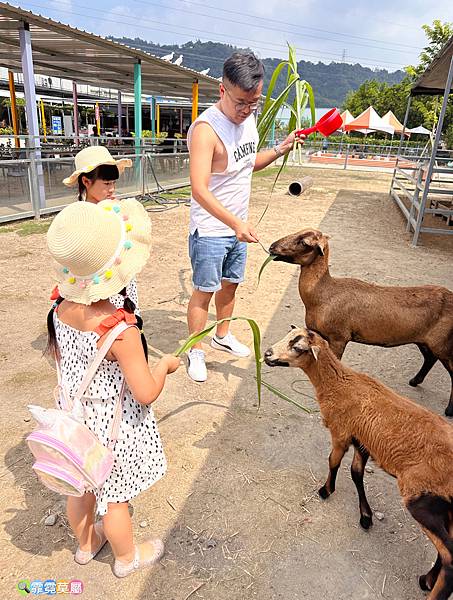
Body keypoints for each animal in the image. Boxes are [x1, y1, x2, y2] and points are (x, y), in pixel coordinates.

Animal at [264, 328, 452, 600]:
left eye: (297, 347)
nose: (267, 354)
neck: (340, 384)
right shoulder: (361, 440)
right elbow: (356, 473)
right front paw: (365, 516)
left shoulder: (341, 432)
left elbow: (332, 461)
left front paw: (325, 490)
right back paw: (426, 579)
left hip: (423, 495)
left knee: (450, 556)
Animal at [268, 230, 452, 418]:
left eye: (303, 242)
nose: (272, 247)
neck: (322, 294)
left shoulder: (339, 337)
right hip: (425, 341)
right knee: (430, 358)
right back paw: (415, 381)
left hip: (443, 344)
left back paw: (449, 410)